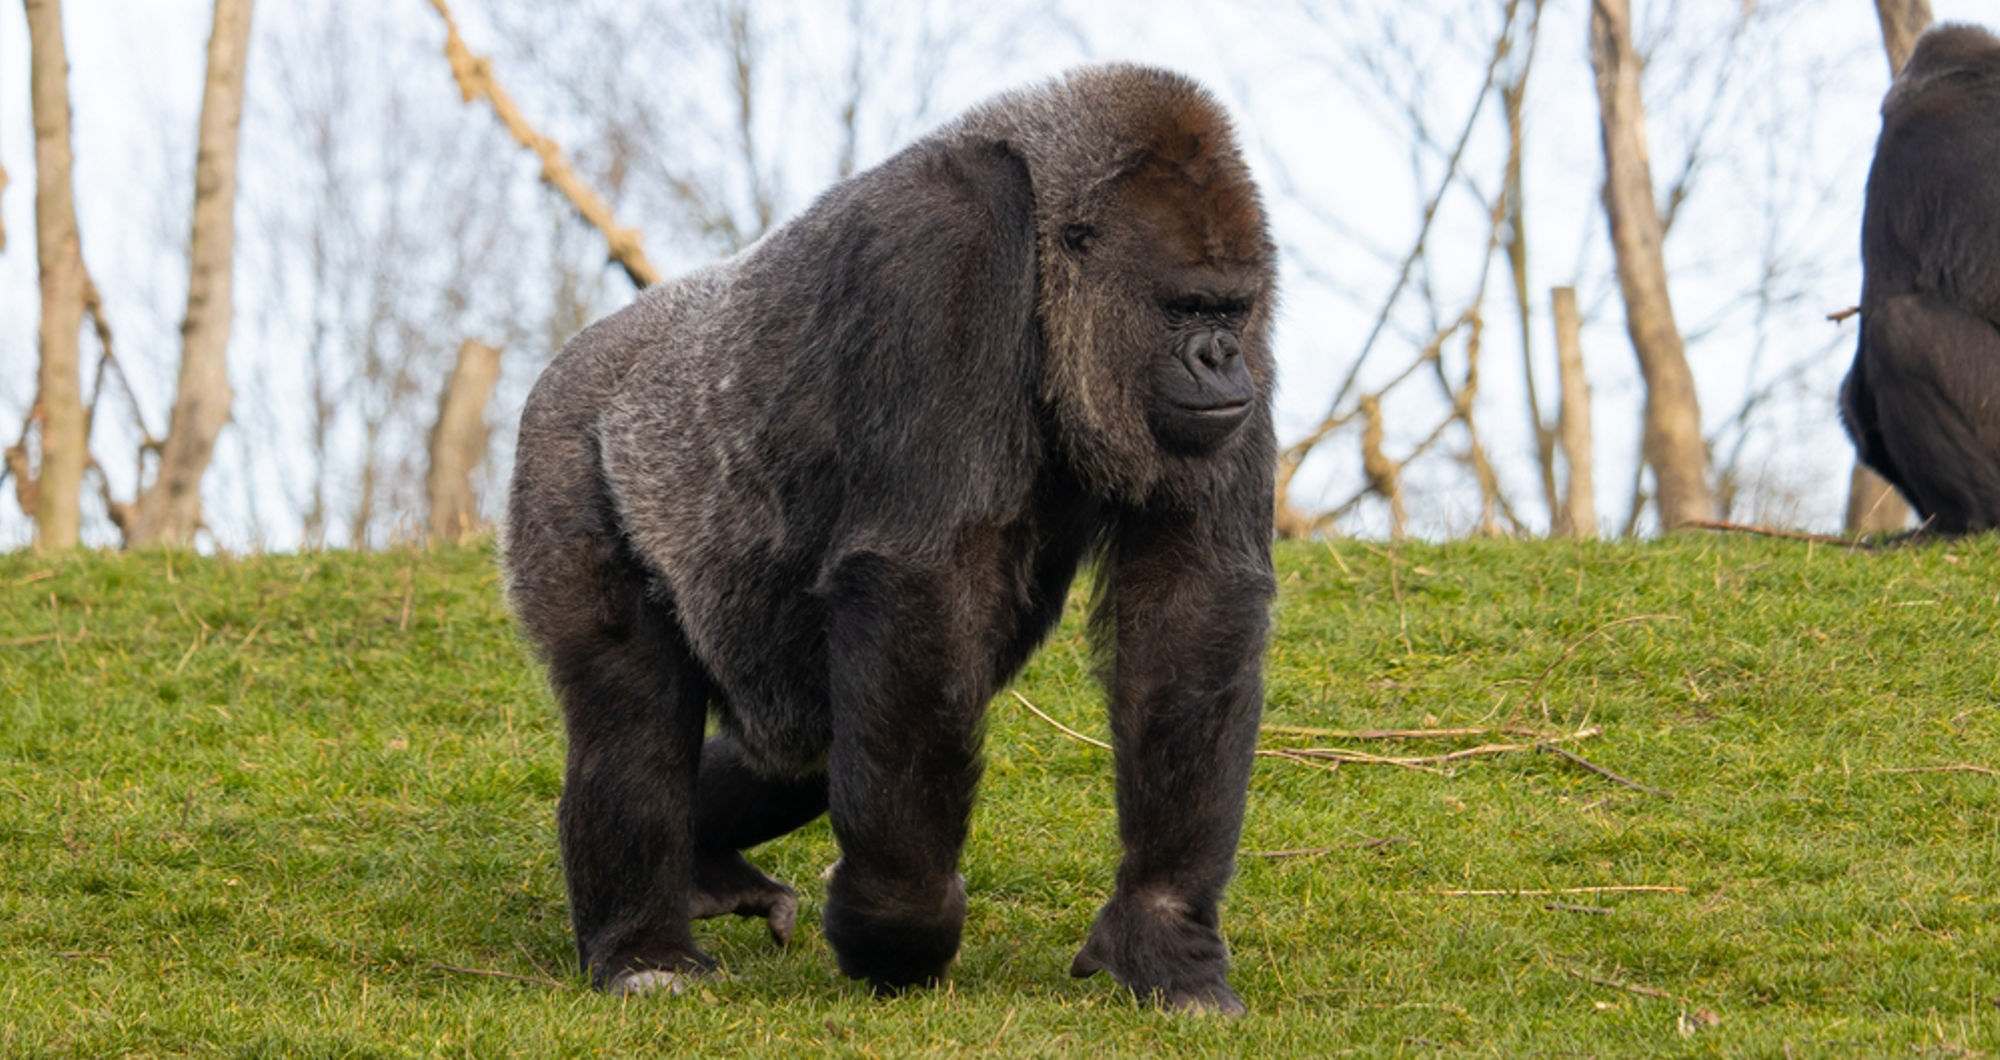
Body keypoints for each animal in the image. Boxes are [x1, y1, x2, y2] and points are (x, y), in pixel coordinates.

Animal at [504, 63, 1276, 1013]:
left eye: (1231, 312)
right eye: (1181, 308)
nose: (1220, 359)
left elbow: (1189, 602)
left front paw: (1163, 929)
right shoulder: (946, 244)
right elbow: (920, 573)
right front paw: (900, 923)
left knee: (806, 744)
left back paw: (702, 867)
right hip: (567, 443)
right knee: (636, 719)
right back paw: (643, 949)